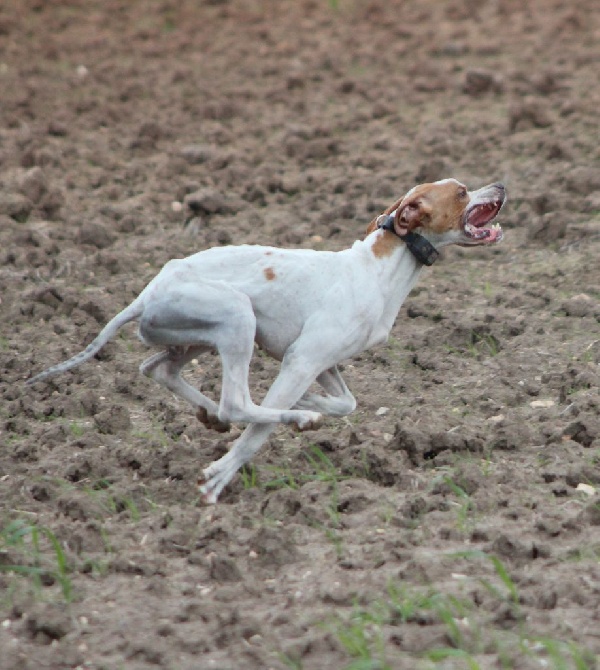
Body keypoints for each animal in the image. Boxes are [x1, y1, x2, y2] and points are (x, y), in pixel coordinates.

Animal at [28, 178, 506, 504]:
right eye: (462, 191)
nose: (500, 184)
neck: (378, 269)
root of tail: (147, 292)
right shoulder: (301, 360)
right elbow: (258, 432)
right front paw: (223, 472)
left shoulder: (321, 363)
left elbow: (345, 403)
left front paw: (310, 401)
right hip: (237, 316)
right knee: (235, 404)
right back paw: (288, 419)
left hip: (201, 335)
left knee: (159, 368)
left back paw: (218, 414)